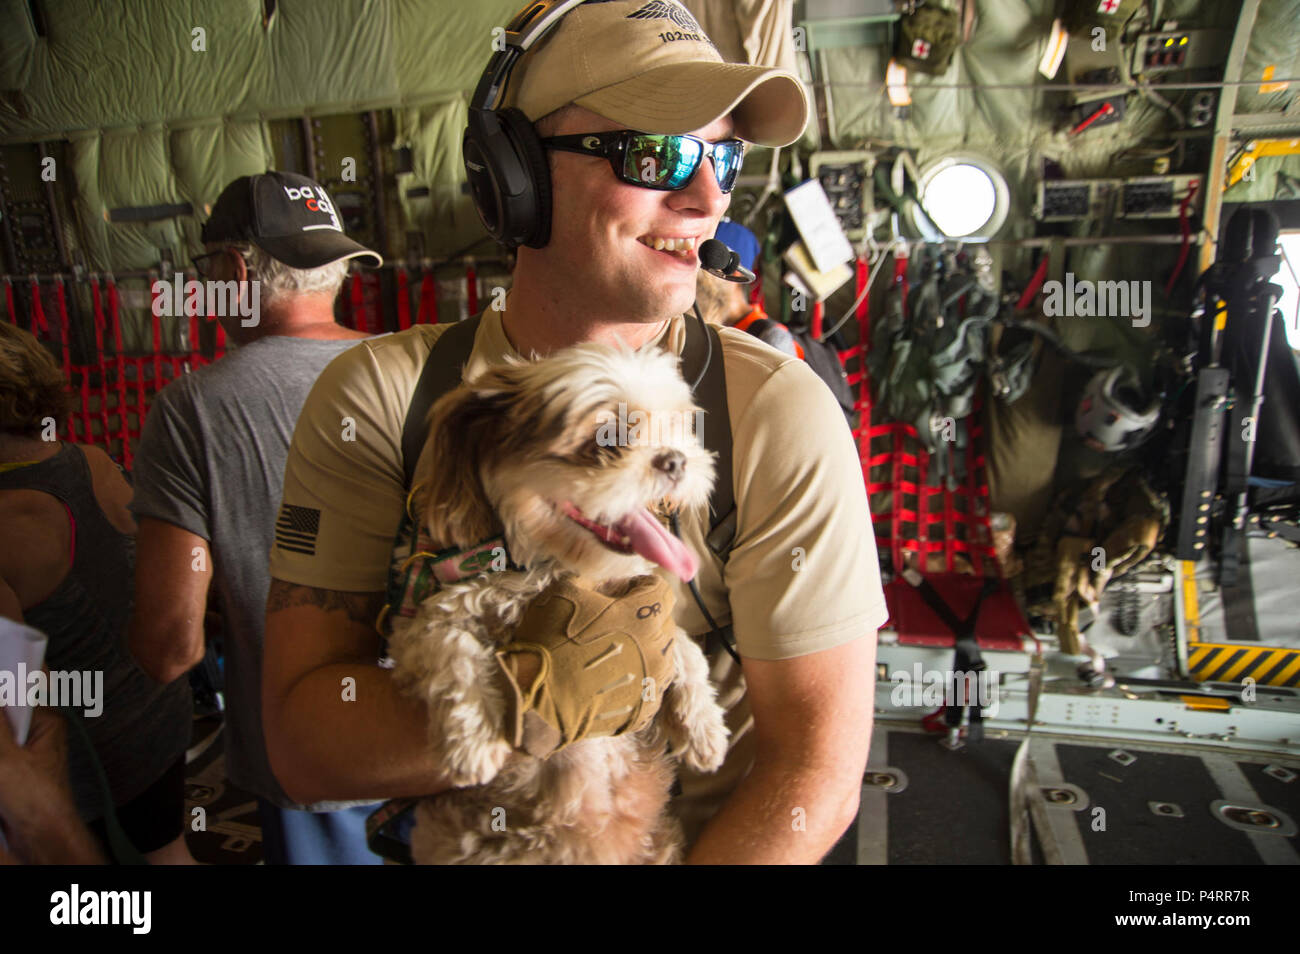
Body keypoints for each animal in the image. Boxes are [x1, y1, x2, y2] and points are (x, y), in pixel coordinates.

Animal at [384, 340, 733, 863]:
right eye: (606, 442)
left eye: (675, 427)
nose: (674, 460)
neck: (557, 566)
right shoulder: (422, 617)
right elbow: (451, 649)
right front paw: (473, 737)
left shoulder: (643, 604)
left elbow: (683, 647)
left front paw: (704, 724)